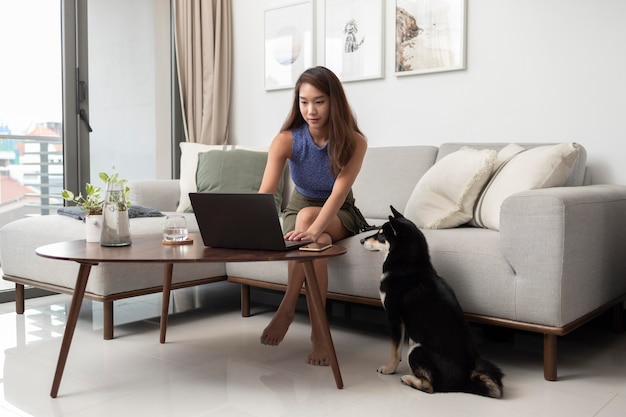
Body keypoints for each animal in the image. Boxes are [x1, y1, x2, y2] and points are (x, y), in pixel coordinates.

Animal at [360, 206, 502, 398]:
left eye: (381, 235)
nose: (361, 240)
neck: (408, 267)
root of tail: (466, 381)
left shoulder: (395, 318)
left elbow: (394, 350)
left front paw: (389, 368)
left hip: (418, 351)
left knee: (431, 387)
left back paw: (409, 379)